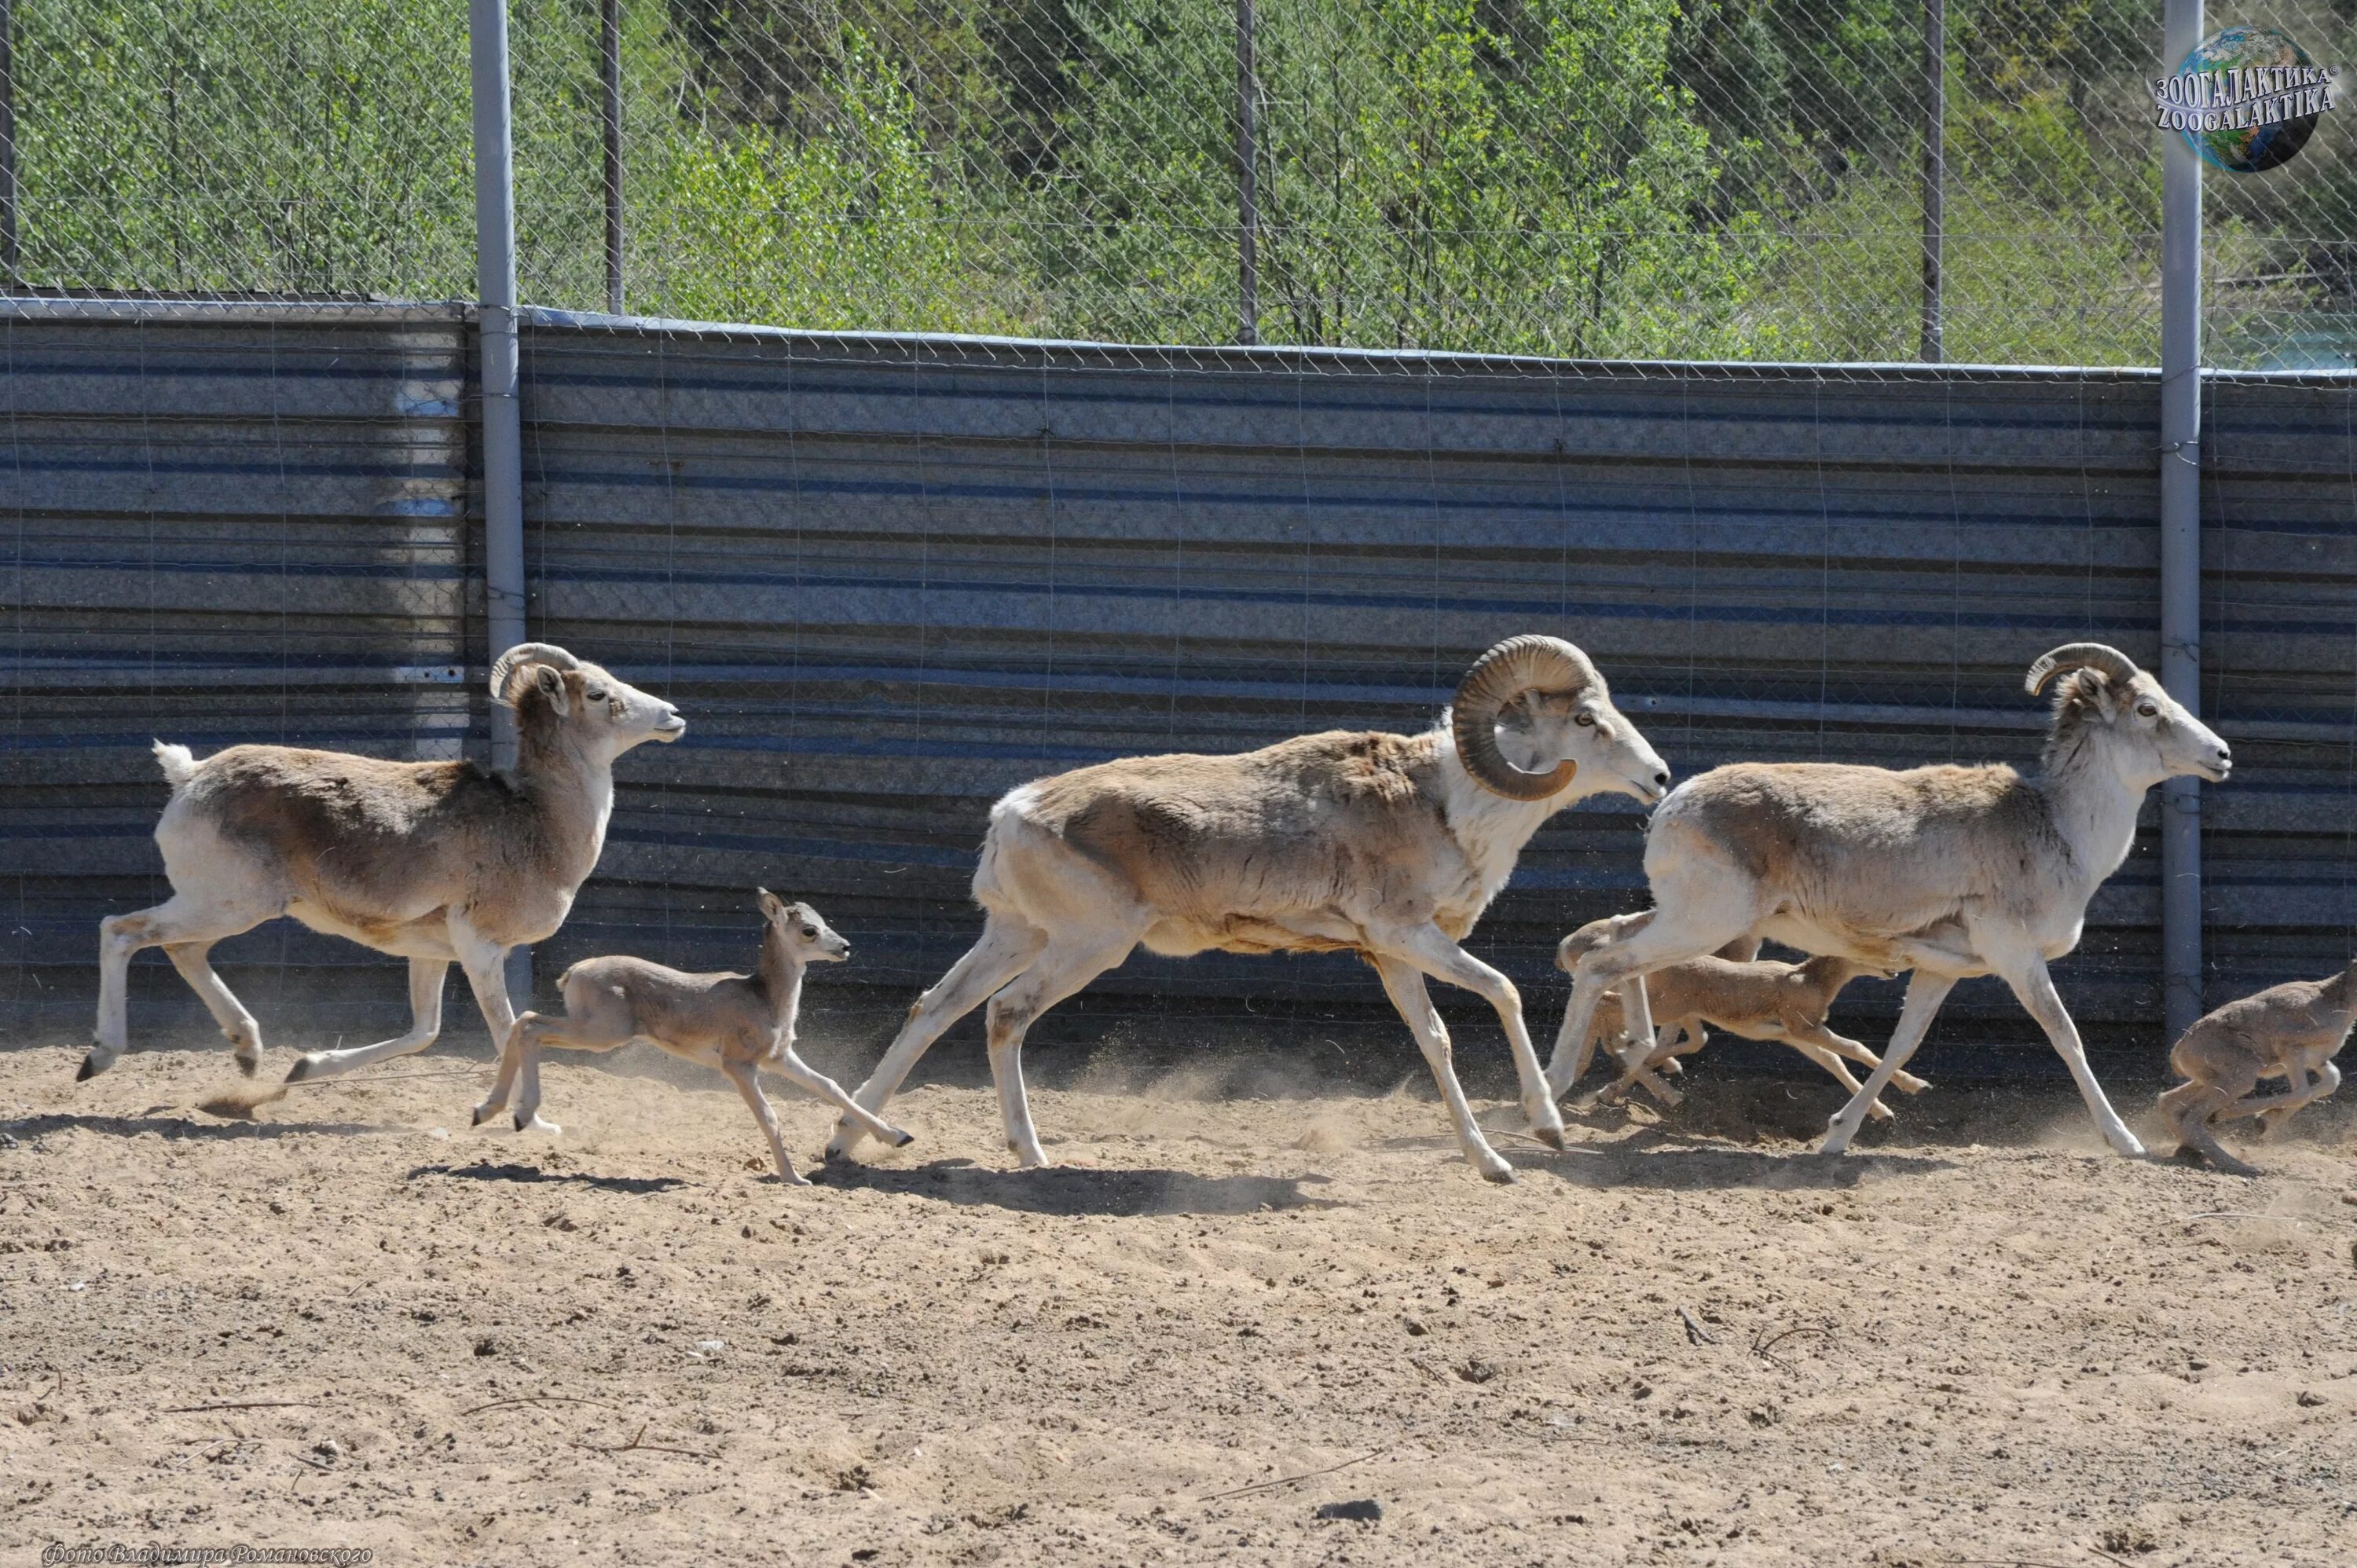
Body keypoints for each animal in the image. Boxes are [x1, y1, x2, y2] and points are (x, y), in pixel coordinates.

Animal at [497, 886, 910, 1178]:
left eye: (823, 920)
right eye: (809, 930)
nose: (845, 947)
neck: (762, 996)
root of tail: (575, 971)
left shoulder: (779, 1058)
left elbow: (831, 1086)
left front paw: (899, 1136)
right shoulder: (739, 1066)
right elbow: (769, 1116)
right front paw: (794, 1178)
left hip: (594, 1032)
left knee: (524, 1023)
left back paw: (501, 1114)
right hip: (600, 1034)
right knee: (529, 1023)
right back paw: (516, 1114)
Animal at [2159, 952, 2348, 1174]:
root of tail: (2178, 1052)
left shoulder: (2317, 1059)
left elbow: (2330, 1082)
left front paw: (2262, 1122)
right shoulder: (2291, 1050)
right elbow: (2302, 1092)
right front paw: (2252, 1121)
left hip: (2211, 1080)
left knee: (2169, 1102)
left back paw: (2190, 1151)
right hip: (2240, 1078)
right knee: (2190, 1116)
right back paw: (2241, 1166)